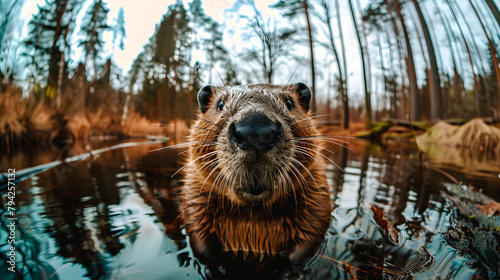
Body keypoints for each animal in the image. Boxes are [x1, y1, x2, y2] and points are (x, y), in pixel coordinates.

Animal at [180, 82, 332, 266]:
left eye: (289, 103)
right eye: (220, 104)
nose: (255, 130)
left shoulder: (316, 187)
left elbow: (312, 228)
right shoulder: (194, 187)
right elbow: (196, 228)